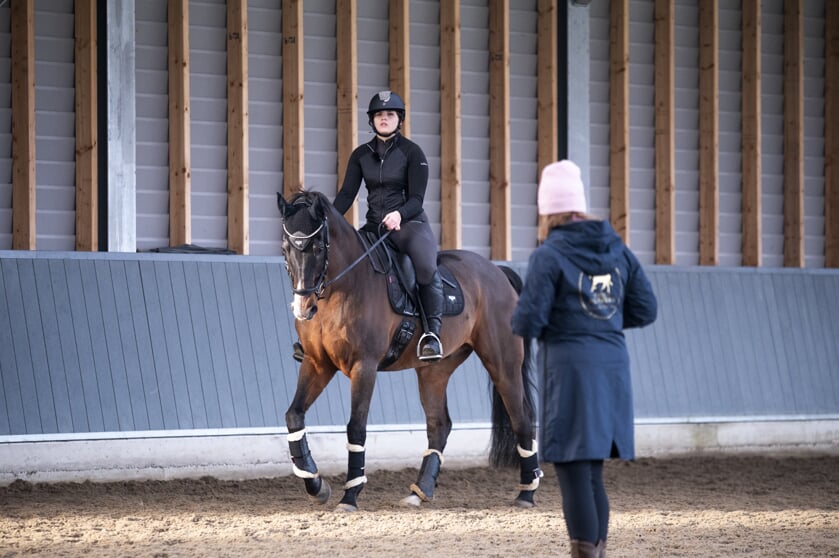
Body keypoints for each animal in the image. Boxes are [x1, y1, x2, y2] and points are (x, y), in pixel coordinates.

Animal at [276, 190, 540, 516]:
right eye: (286, 247)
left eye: (315, 246)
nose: (304, 308)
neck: (342, 289)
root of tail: (497, 272)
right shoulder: (317, 364)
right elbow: (294, 416)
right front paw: (316, 485)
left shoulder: (364, 366)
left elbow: (356, 428)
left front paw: (350, 496)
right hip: (434, 371)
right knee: (439, 425)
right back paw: (420, 492)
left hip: (502, 364)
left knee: (522, 419)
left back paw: (526, 492)